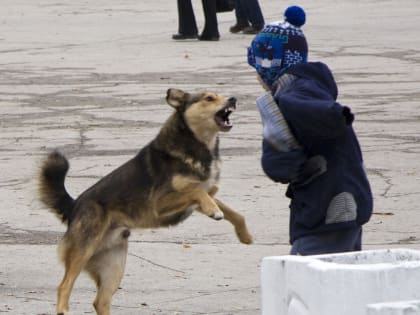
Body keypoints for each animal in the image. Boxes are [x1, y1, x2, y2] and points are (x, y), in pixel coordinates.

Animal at [38, 89, 253, 315]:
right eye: (209, 98)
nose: (233, 99)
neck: (198, 145)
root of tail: (74, 206)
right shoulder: (160, 203)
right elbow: (197, 191)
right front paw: (215, 211)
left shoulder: (201, 198)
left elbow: (234, 212)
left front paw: (244, 235)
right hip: (83, 249)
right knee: (64, 286)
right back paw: (63, 308)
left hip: (113, 264)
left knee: (100, 301)